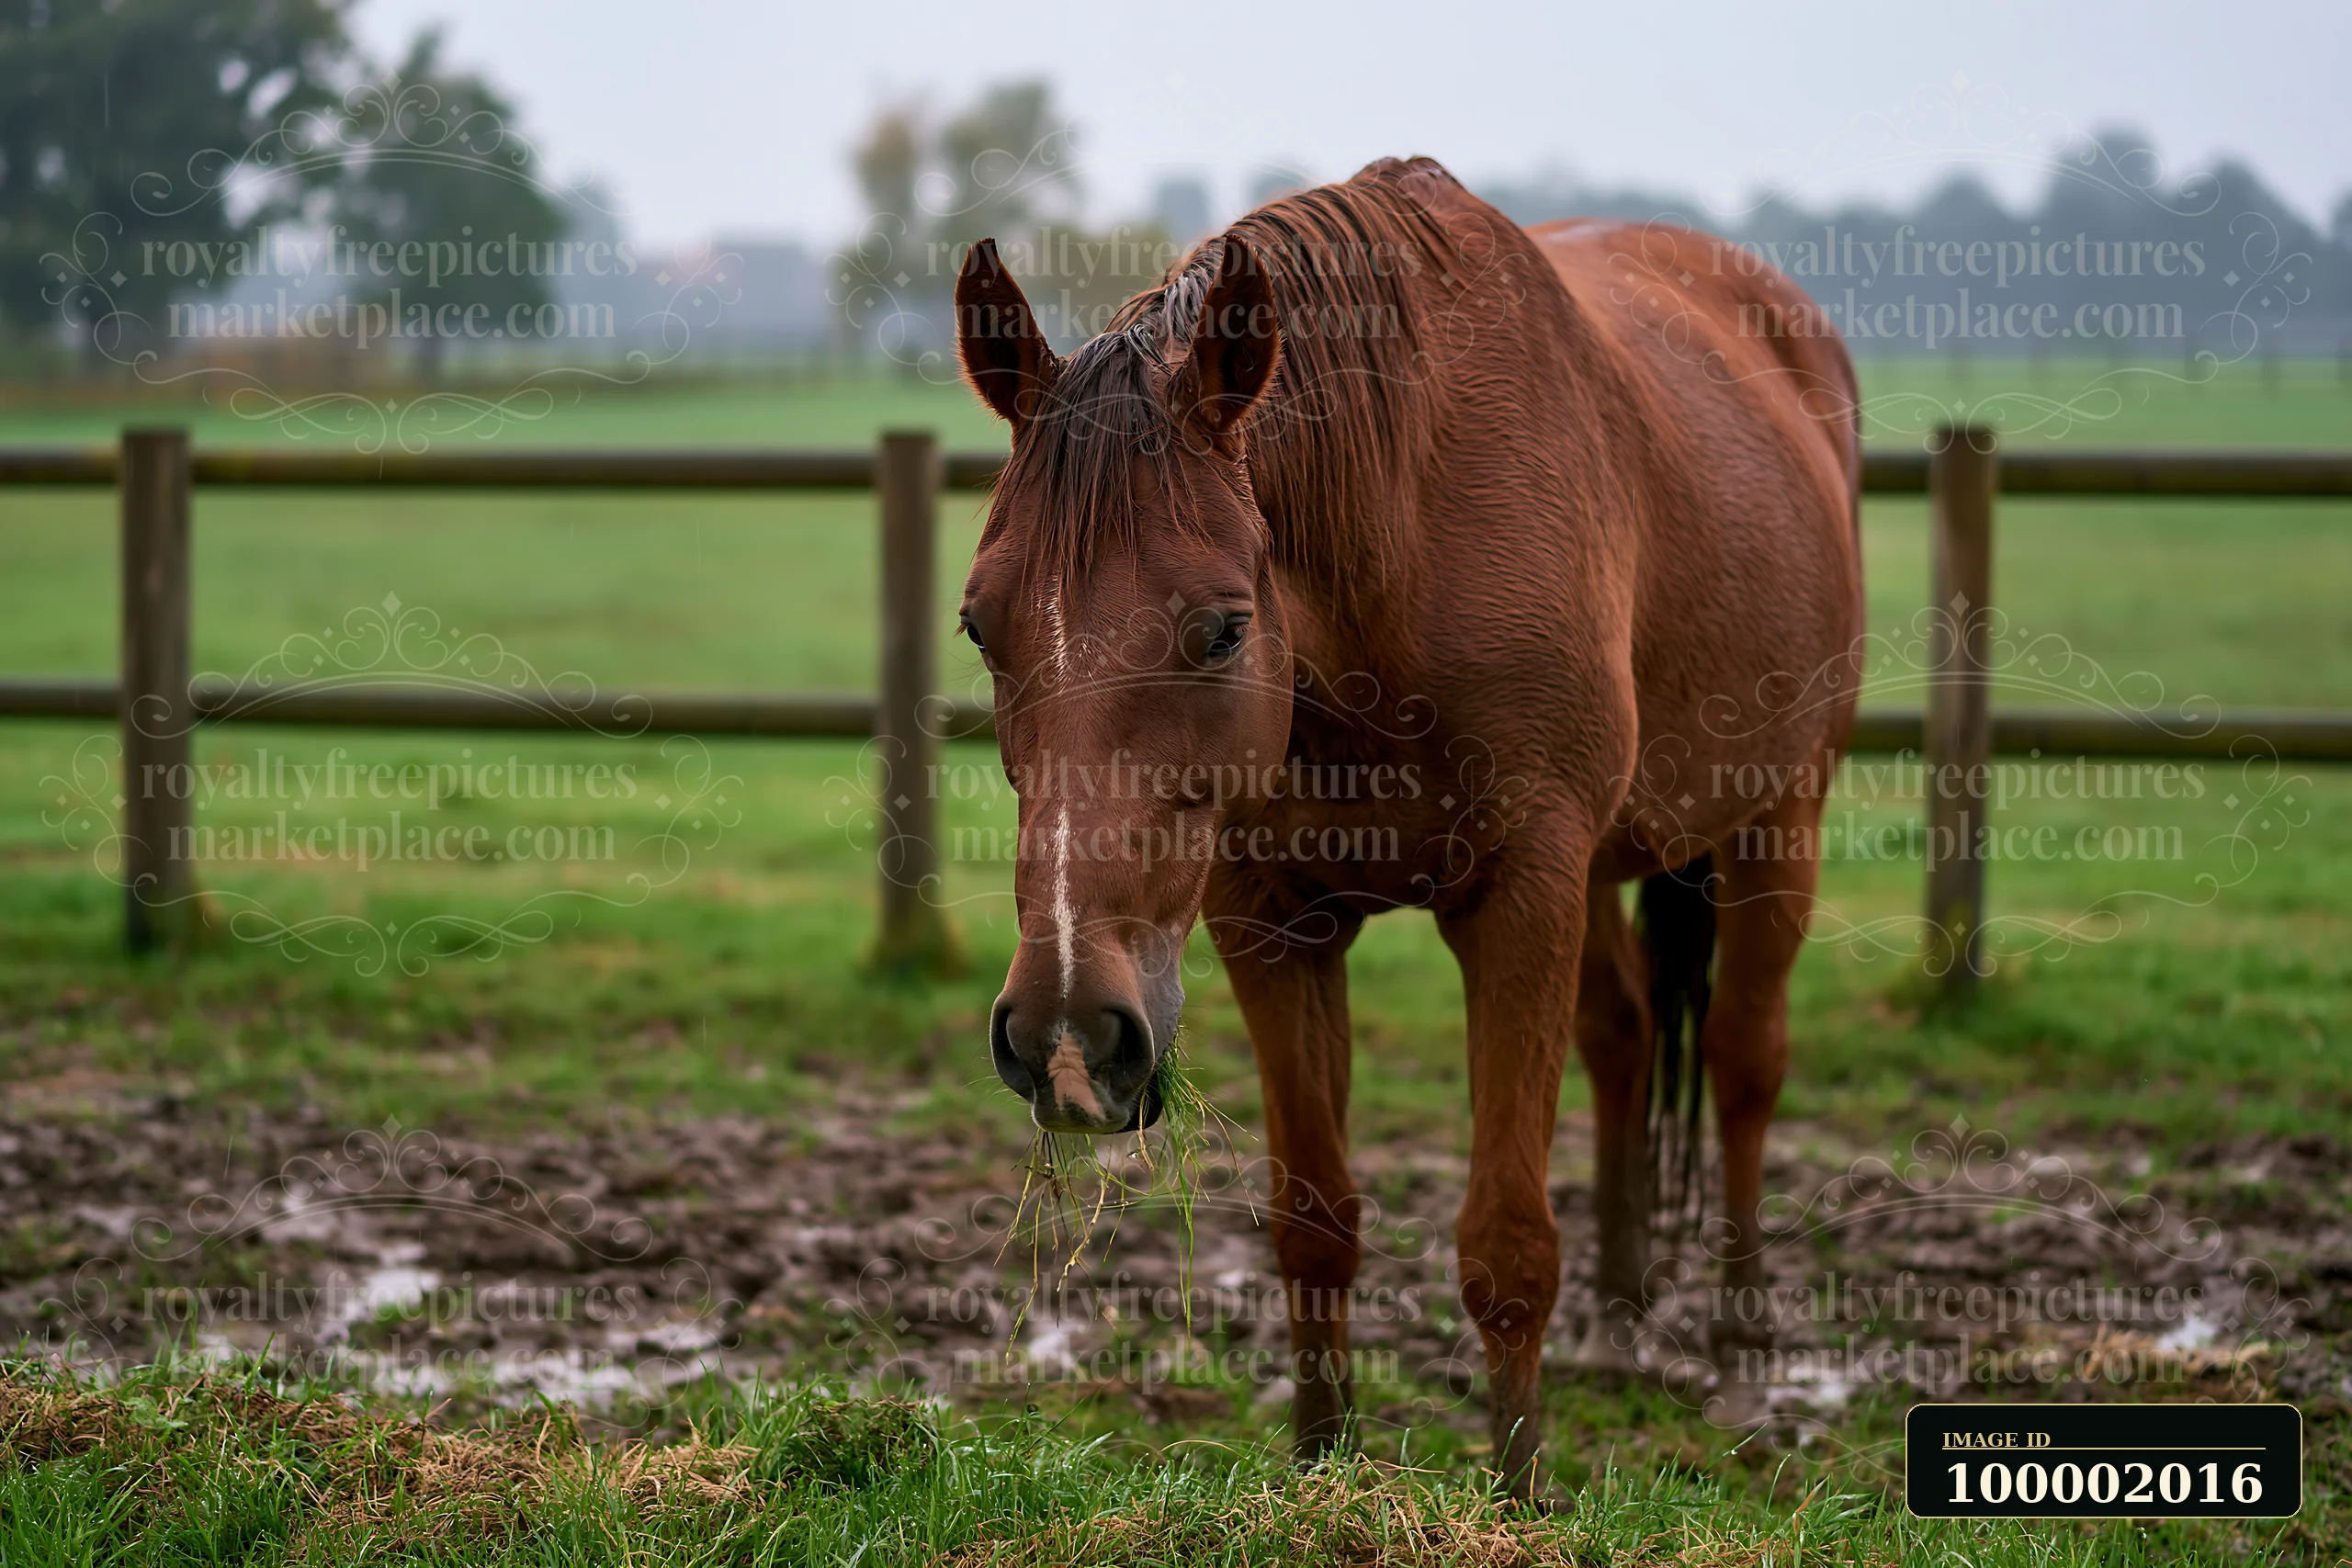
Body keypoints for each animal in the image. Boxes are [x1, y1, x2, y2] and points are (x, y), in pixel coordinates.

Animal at [951, 156, 1861, 1499]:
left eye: (1223, 628)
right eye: (979, 626)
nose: (1067, 1034)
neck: (1402, 540)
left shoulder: (1520, 894)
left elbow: (1505, 1240)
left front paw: (1521, 1494)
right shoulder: (1269, 922)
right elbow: (1314, 1220)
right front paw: (1319, 1469)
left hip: (1779, 815)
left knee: (1744, 1065)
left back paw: (1743, 1369)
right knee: (1625, 1038)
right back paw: (1621, 1323)